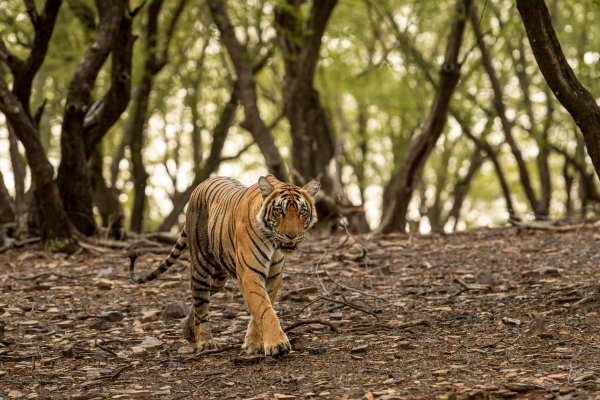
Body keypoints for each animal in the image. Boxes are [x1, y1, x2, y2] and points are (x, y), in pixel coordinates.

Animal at [129, 175, 322, 356]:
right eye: (279, 211)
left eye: (302, 212)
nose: (291, 235)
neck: (274, 243)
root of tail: (201, 184)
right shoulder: (250, 274)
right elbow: (265, 310)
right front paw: (277, 344)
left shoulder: (273, 276)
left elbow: (261, 309)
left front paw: (253, 344)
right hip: (201, 266)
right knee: (200, 303)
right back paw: (205, 341)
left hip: (218, 278)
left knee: (199, 302)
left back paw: (189, 333)